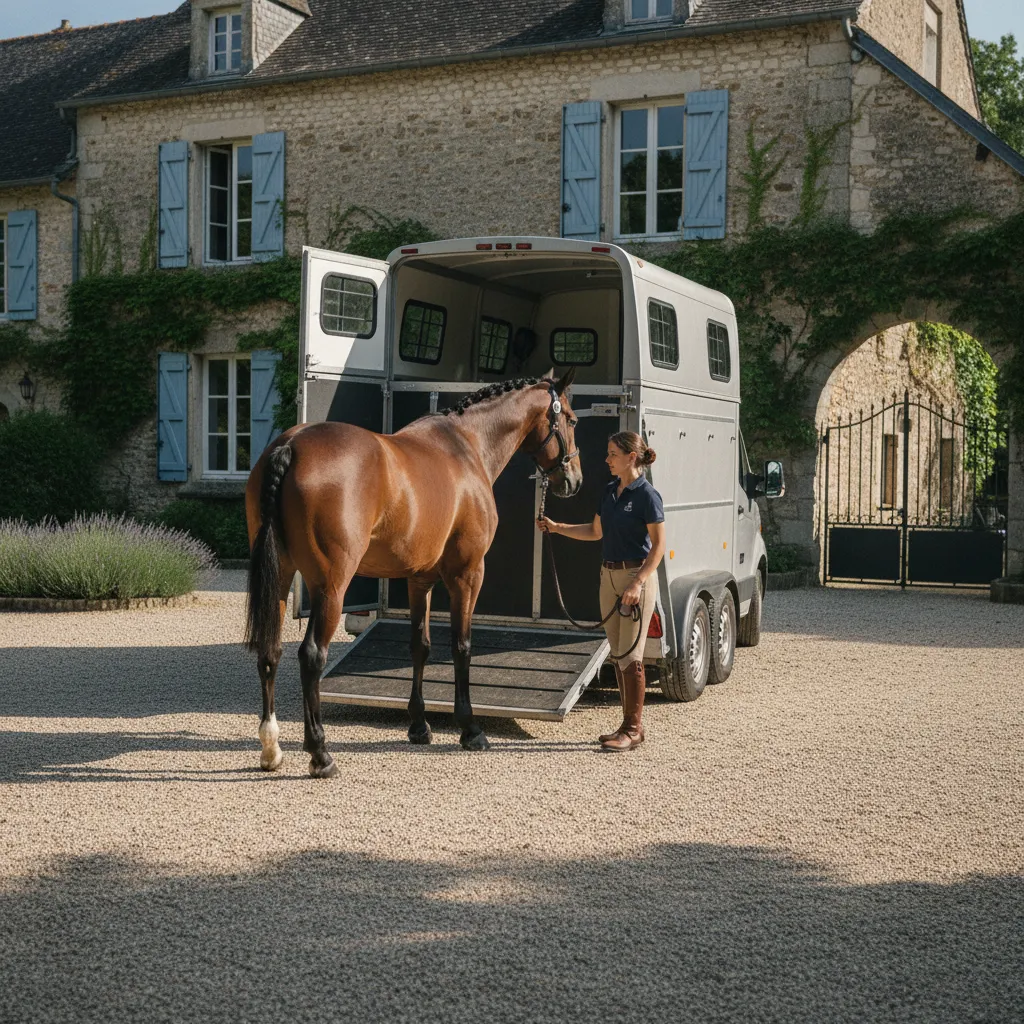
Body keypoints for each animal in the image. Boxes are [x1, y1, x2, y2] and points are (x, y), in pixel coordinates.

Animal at [244, 370, 582, 778]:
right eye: (572, 420)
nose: (574, 480)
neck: (467, 445)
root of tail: (290, 445)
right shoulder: (468, 573)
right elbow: (461, 646)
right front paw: (470, 729)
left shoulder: (419, 580)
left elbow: (420, 646)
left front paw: (419, 725)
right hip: (330, 587)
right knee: (311, 656)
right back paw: (321, 754)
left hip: (278, 579)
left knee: (270, 651)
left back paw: (271, 748)